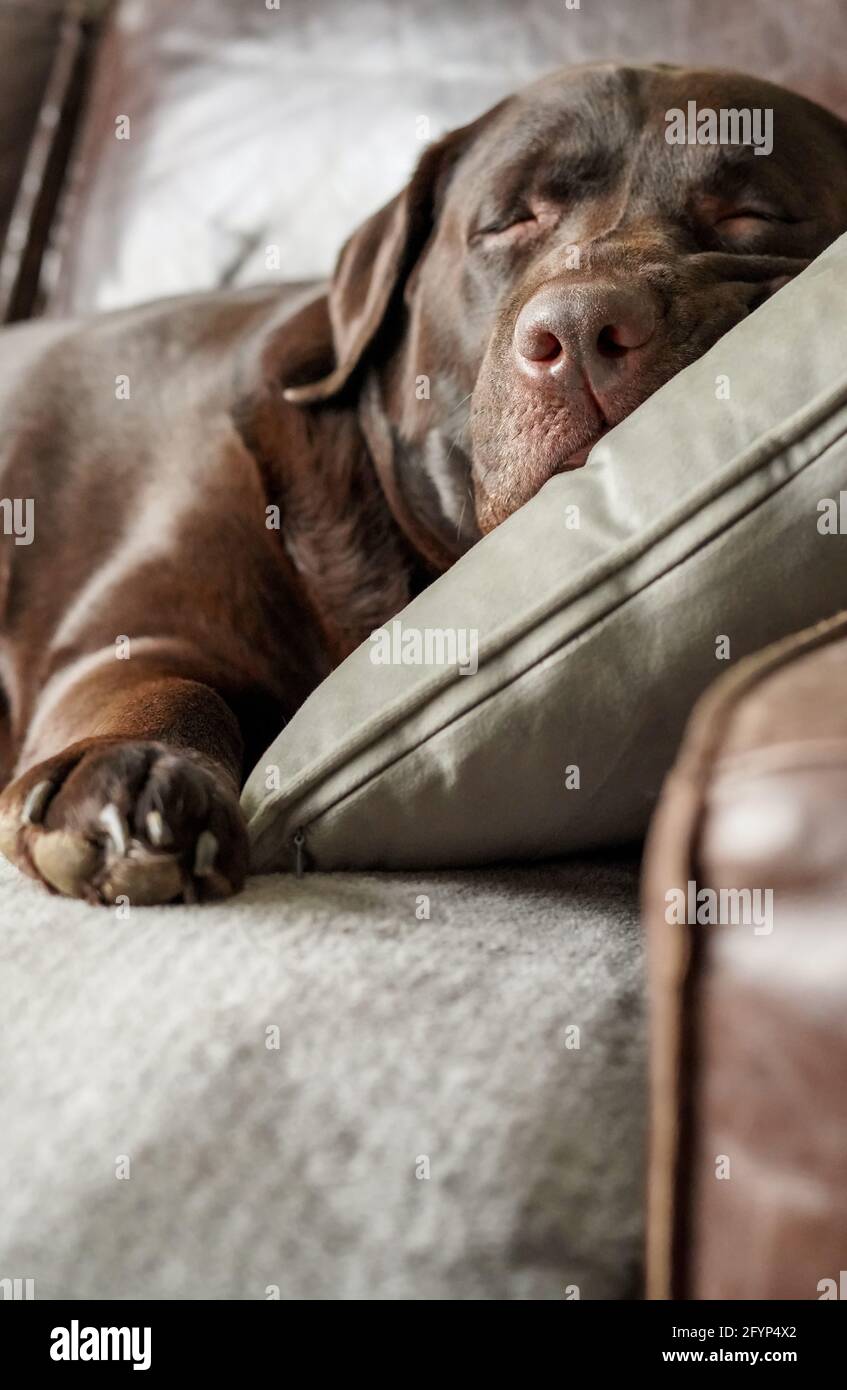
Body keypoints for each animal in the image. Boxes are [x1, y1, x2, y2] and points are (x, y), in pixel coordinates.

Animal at [1, 65, 845, 906]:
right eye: (509, 221)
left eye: (751, 215)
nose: (579, 329)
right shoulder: (142, 632)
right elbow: (171, 685)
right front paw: (130, 773)